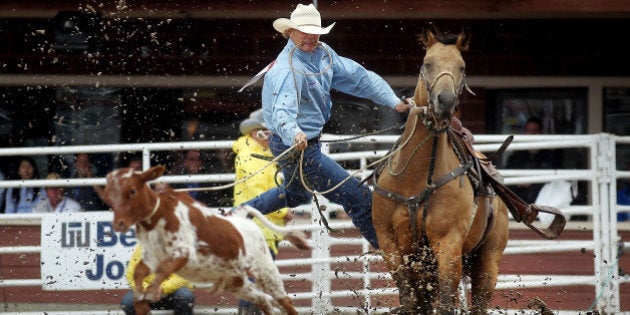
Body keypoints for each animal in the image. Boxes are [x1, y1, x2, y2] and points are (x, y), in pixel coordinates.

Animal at [101, 165, 312, 315]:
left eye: (132, 191)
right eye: (108, 196)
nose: (119, 223)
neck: (159, 216)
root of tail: (243, 219)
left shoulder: (183, 253)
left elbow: (163, 270)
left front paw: (152, 292)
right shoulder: (151, 257)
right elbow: (138, 272)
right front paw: (142, 302)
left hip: (265, 271)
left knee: (285, 302)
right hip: (236, 283)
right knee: (264, 300)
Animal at [372, 26, 512, 314]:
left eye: (462, 67)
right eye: (427, 63)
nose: (444, 102)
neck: (414, 178)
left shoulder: (448, 244)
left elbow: (447, 303)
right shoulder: (390, 244)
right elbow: (410, 301)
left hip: (487, 262)